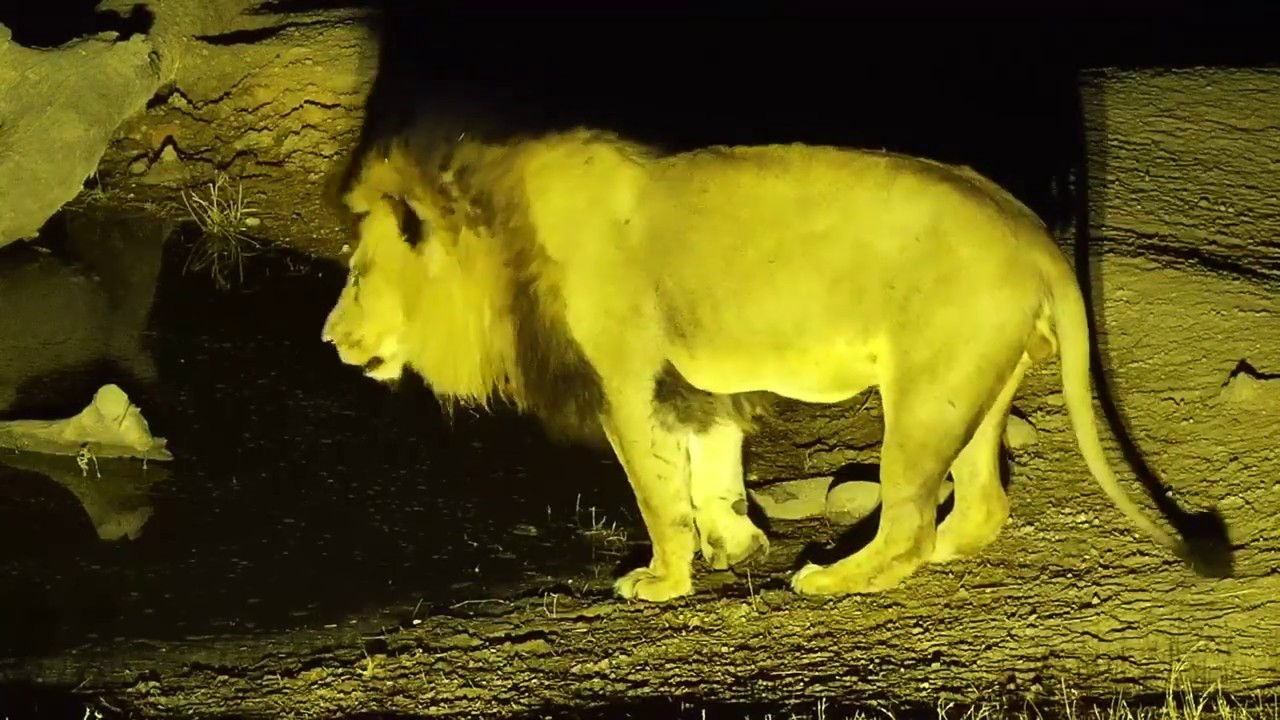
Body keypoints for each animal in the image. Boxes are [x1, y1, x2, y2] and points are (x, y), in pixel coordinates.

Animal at [321, 122, 1231, 603]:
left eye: (358, 274)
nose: (328, 340)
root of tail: (1035, 232)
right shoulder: (689, 384)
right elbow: (711, 467)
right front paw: (736, 543)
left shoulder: (624, 380)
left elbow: (657, 495)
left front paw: (662, 581)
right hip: (976, 388)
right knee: (979, 504)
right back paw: (933, 550)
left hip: (924, 394)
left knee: (908, 520)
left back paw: (829, 578)